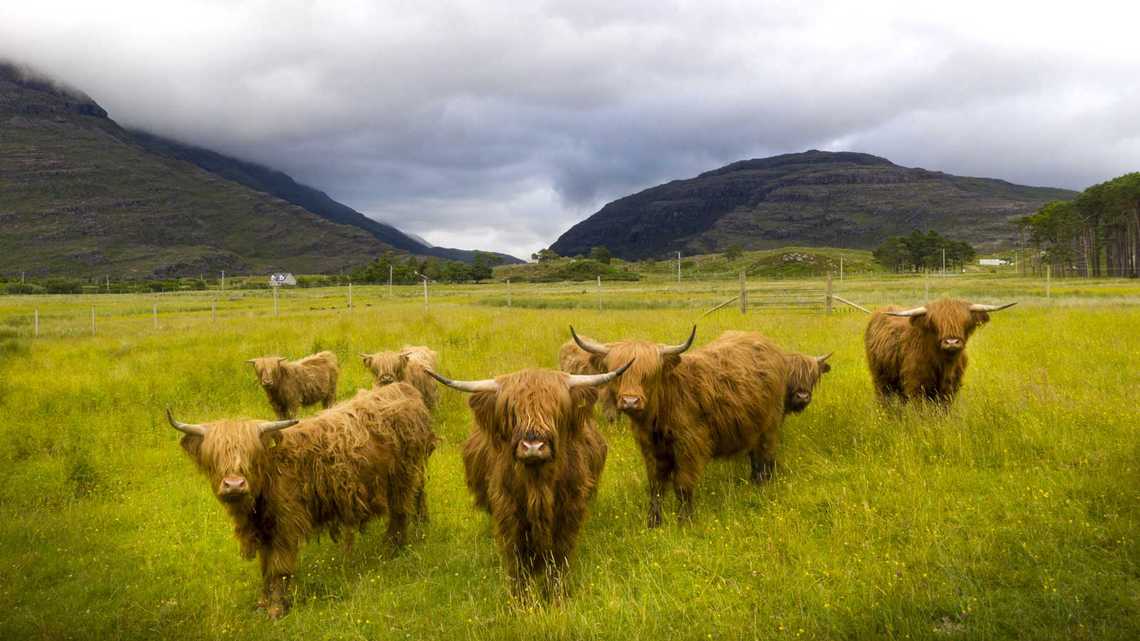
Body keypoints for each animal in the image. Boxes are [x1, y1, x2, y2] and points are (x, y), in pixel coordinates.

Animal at [167, 382, 436, 618]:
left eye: (252, 454)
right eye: (214, 456)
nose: (234, 484)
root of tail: (403, 388)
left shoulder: (286, 525)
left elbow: (279, 568)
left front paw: (276, 609)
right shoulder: (263, 530)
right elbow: (265, 568)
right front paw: (262, 603)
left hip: (402, 476)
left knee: (400, 512)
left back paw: (393, 549)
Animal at [426, 362, 629, 595]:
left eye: (554, 410)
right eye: (512, 412)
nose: (533, 446)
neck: (537, 486)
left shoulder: (569, 510)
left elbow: (558, 555)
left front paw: (555, 594)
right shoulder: (509, 511)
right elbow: (518, 558)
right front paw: (521, 596)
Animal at [570, 326, 830, 527]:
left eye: (650, 374)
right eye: (619, 372)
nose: (630, 401)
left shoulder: (690, 446)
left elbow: (683, 485)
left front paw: (685, 522)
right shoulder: (651, 450)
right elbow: (655, 486)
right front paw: (654, 522)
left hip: (770, 426)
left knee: (765, 456)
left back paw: (762, 487)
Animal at [864, 298, 1015, 403]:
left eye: (965, 322)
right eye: (935, 323)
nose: (952, 342)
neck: (944, 363)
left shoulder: (950, 388)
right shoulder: (915, 385)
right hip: (880, 379)